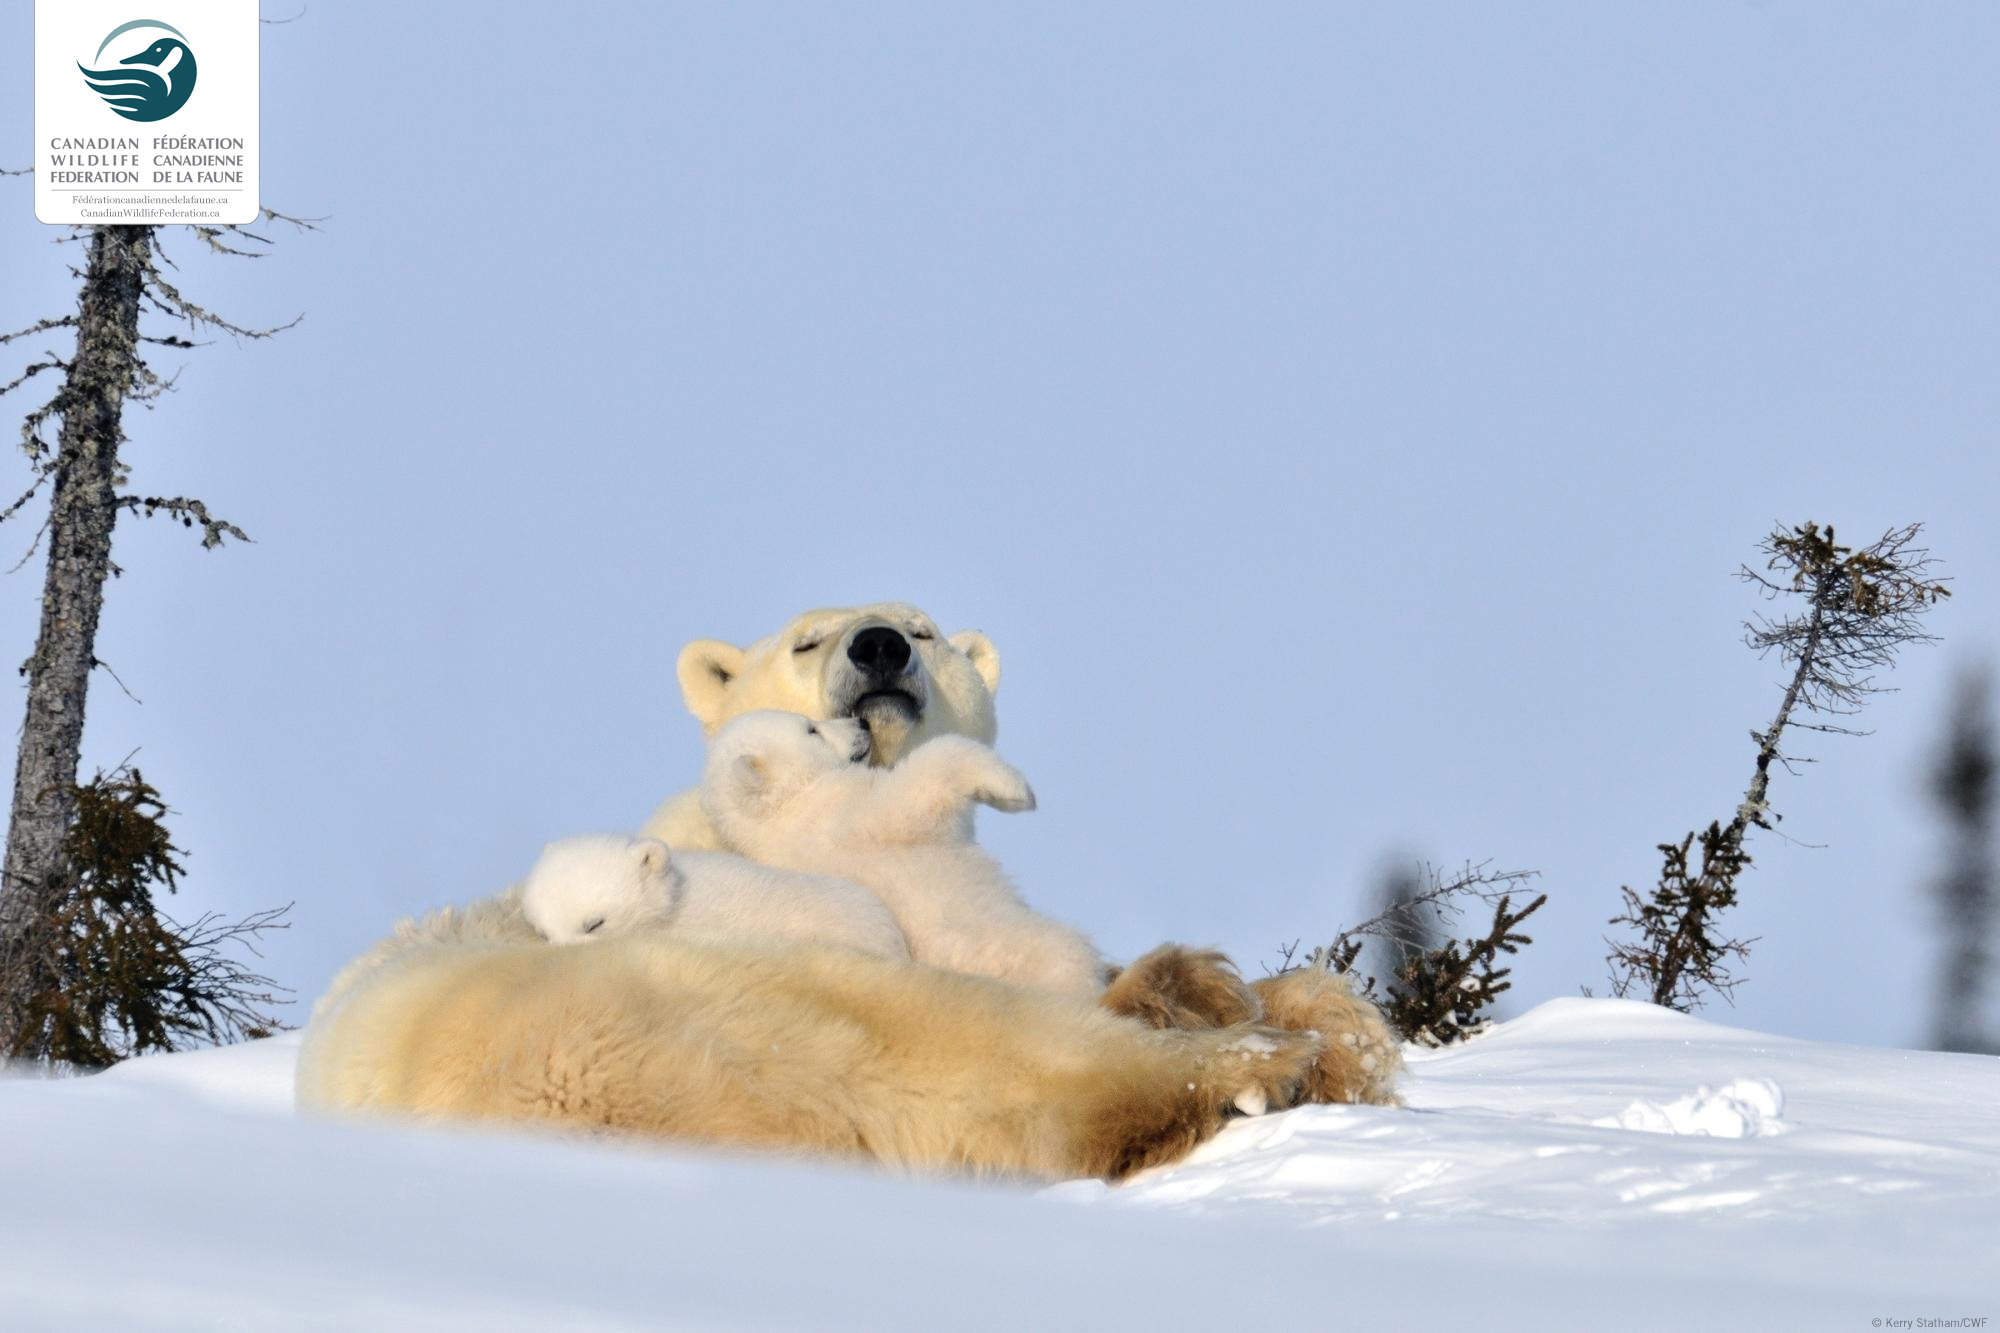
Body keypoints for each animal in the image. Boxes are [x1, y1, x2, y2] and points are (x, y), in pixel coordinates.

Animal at [699, 711, 1107, 1001]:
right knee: (1061, 951)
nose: (861, 722)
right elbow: (915, 785)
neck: (783, 811)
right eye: (811, 729)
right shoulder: (848, 816)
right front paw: (1012, 787)